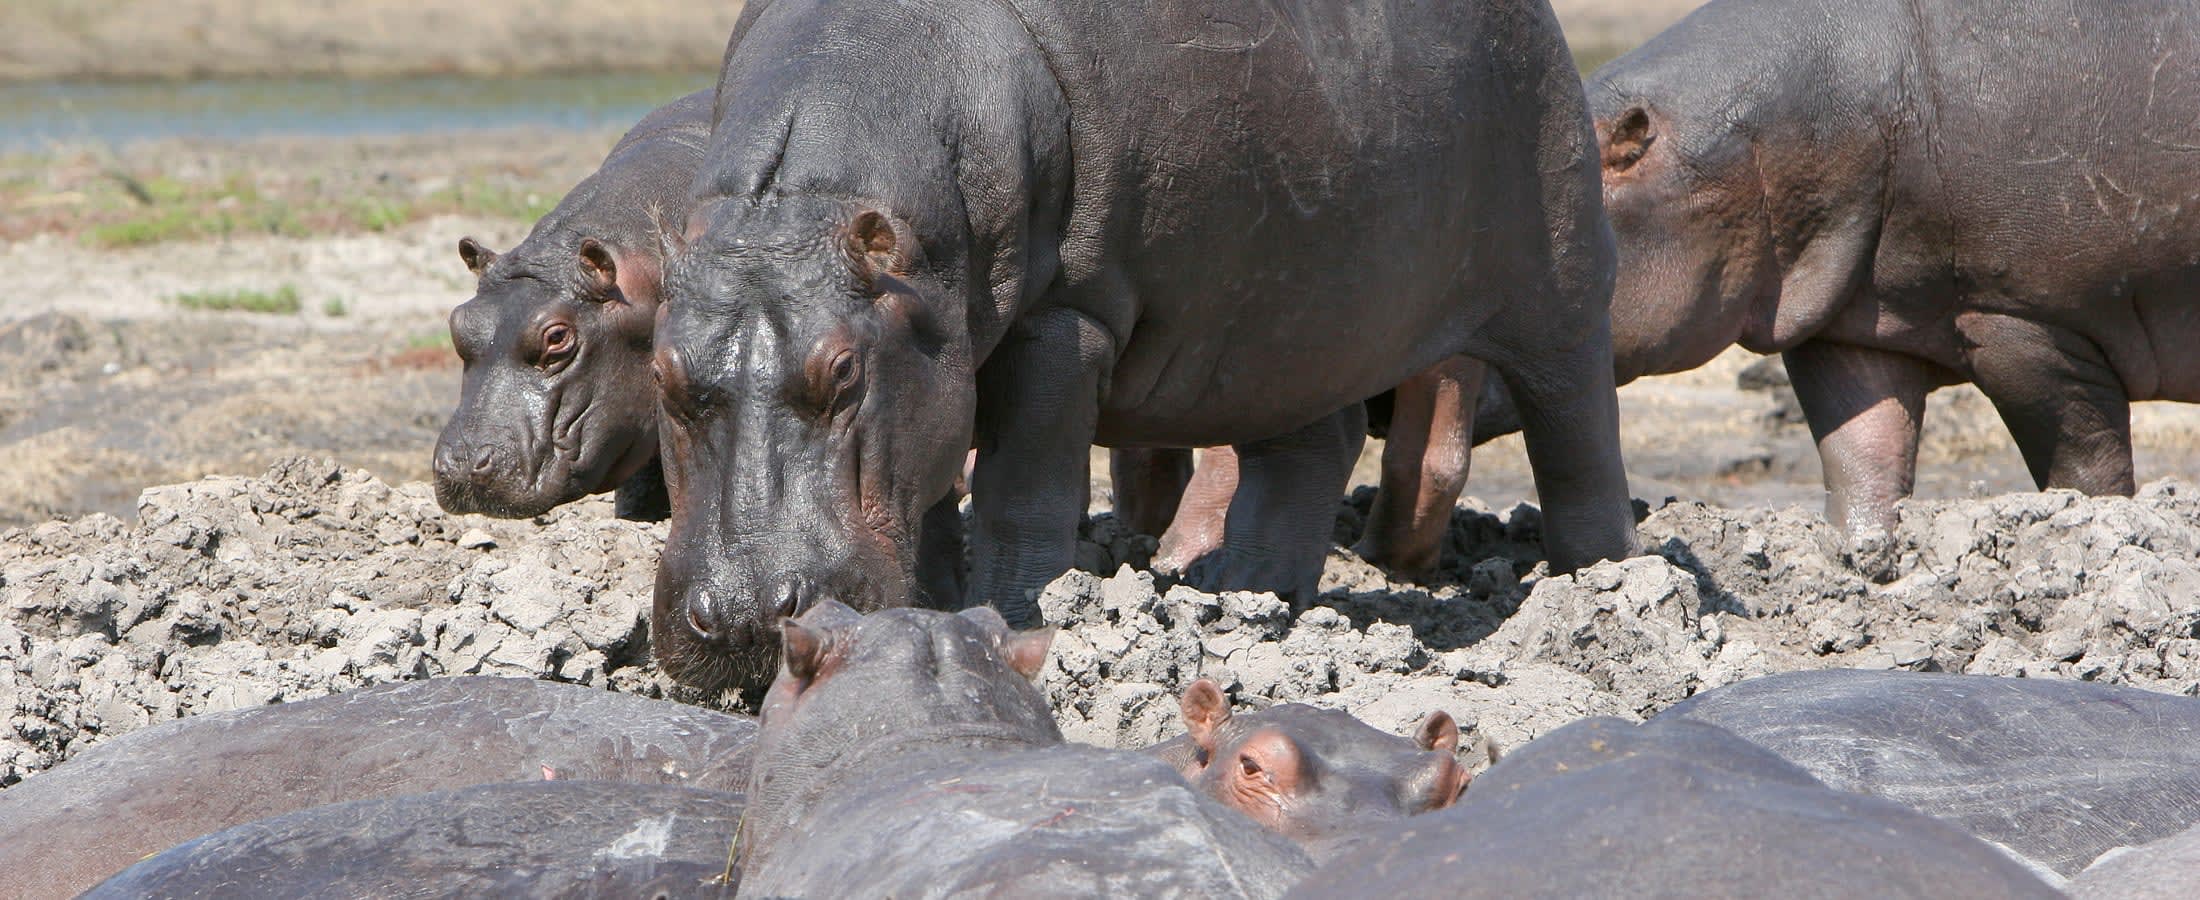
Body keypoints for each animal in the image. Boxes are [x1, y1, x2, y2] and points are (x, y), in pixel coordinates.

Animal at [652, 0, 1640, 691]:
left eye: (843, 371)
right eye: (662, 373)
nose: (743, 616)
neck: (802, 200)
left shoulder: (1065, 318)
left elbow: (1022, 492)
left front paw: (1013, 618)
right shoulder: (937, 355)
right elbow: (929, 495)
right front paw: (930, 607)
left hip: (1556, 271)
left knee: (1577, 428)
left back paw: (1598, 586)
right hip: (1295, 317)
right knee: (1308, 448)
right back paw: (1240, 595)